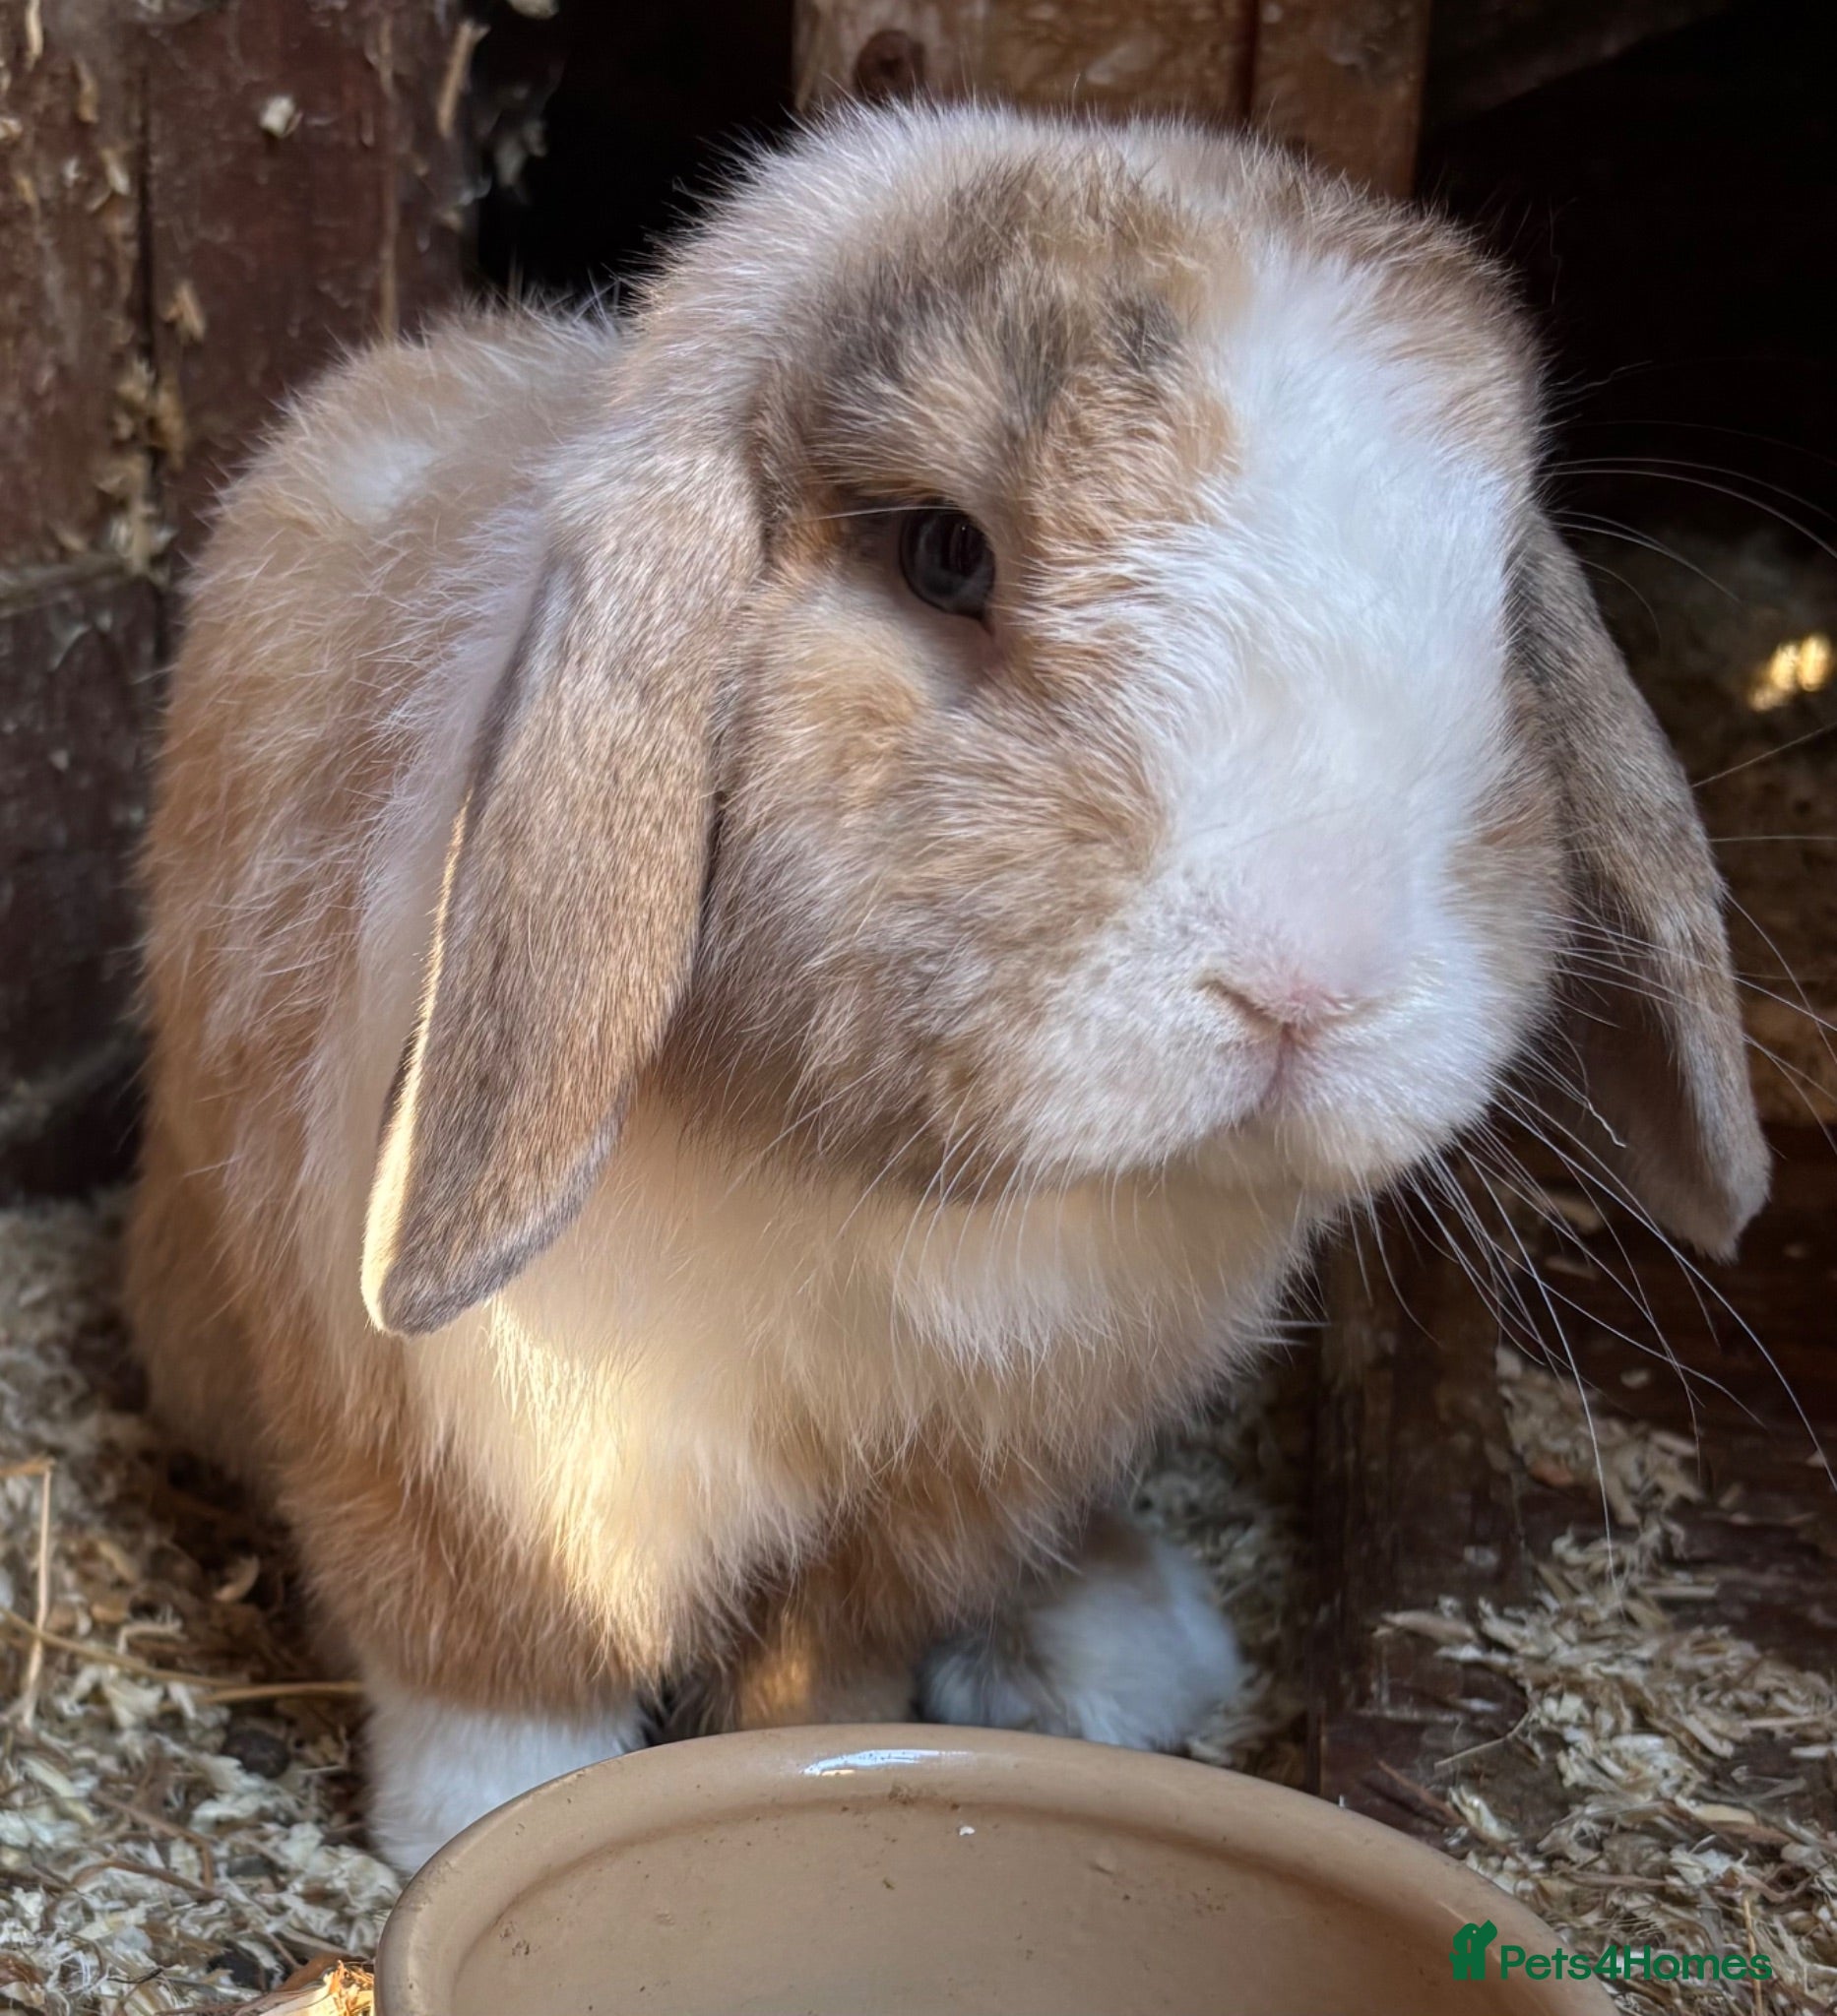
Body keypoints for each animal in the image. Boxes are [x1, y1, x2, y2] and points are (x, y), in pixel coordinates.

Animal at [124, 99, 1767, 1874]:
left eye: (1490, 608)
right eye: (942, 553)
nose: (1308, 977)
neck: (886, 1188)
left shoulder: (934, 1505)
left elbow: (824, 1678)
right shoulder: (466, 1459)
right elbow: (496, 1671)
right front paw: (473, 1833)